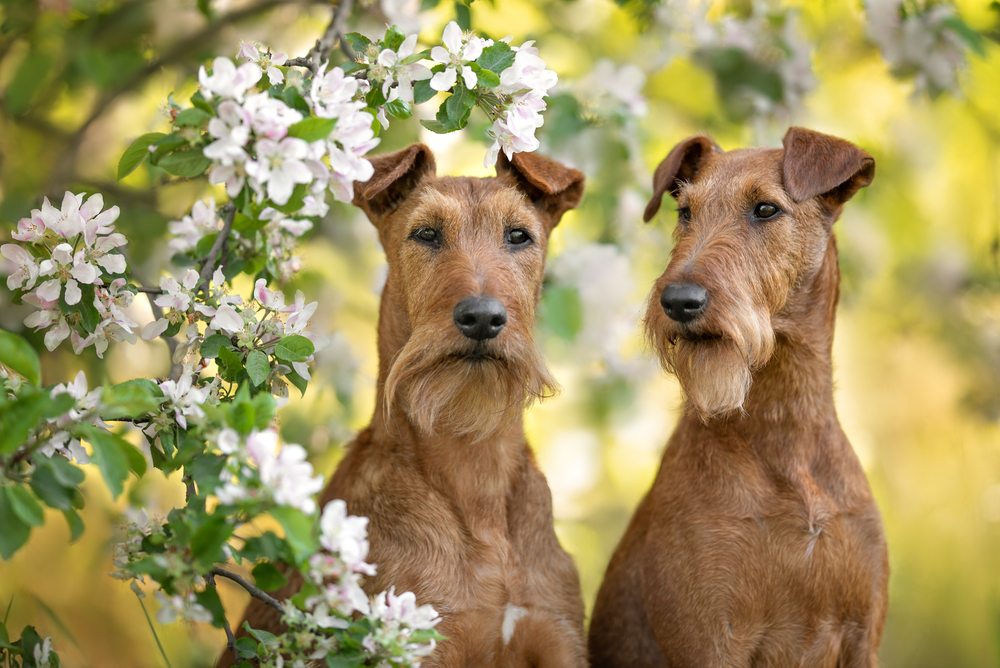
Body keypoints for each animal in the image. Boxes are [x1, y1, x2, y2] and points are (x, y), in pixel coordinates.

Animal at [219, 144, 588, 668]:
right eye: (426, 233)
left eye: (519, 235)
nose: (482, 317)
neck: (474, 468)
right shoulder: (416, 640)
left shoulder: (558, 636)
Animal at [584, 128, 892, 664]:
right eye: (684, 211)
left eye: (766, 209)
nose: (677, 301)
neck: (784, 426)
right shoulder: (711, 639)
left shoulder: (862, 636)